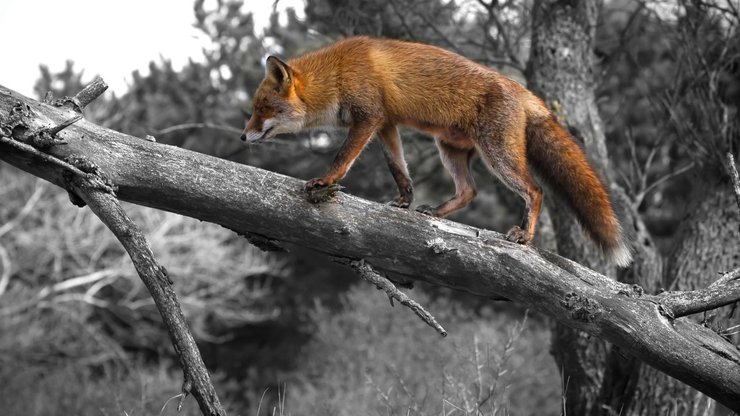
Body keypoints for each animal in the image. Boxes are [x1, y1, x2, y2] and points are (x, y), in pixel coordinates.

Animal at [240, 36, 632, 266]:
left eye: (262, 109)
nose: (243, 137)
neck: (337, 73)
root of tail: (524, 91)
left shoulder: (368, 118)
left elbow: (342, 158)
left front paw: (324, 181)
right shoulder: (386, 124)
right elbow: (398, 168)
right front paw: (404, 201)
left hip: (498, 157)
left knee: (534, 190)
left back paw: (524, 236)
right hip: (450, 150)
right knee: (469, 191)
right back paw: (437, 213)